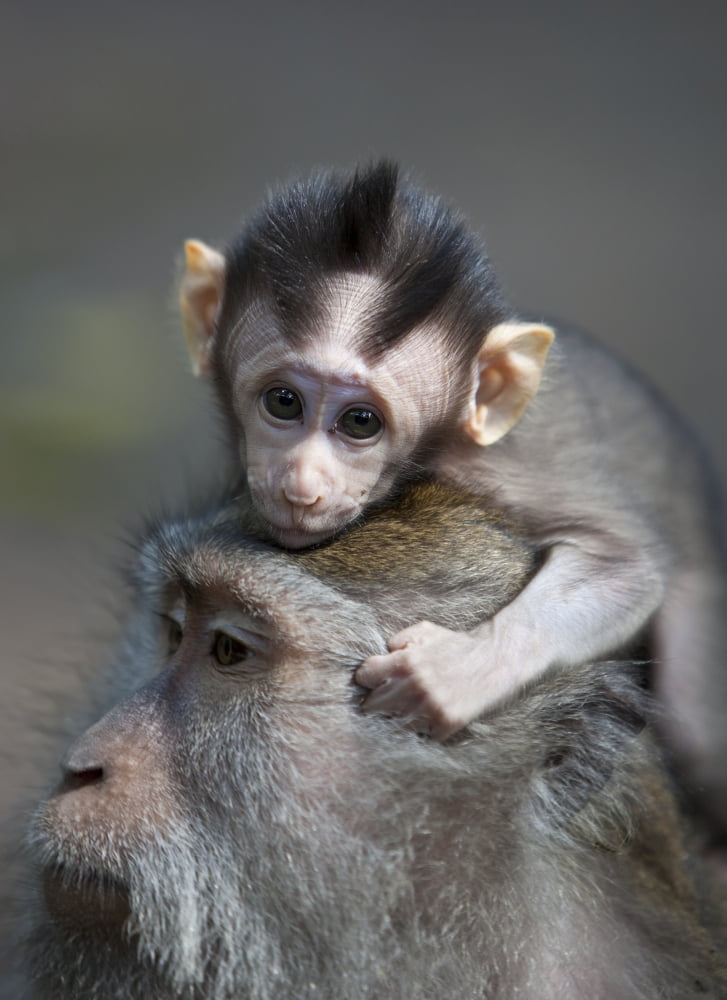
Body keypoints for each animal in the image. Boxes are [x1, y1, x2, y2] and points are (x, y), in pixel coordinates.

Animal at [179, 160, 727, 830]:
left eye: (360, 422)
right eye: (283, 402)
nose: (302, 486)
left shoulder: (504, 469)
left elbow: (625, 565)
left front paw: (453, 672)